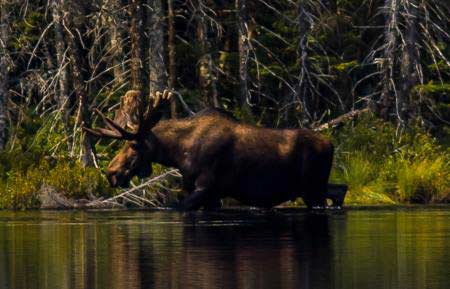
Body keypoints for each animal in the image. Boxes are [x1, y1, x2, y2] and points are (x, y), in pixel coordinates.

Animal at [82, 89, 346, 208]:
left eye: (134, 145)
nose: (112, 173)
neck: (178, 154)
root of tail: (331, 144)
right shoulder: (210, 193)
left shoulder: (205, 187)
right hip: (314, 187)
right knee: (341, 189)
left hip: (312, 189)